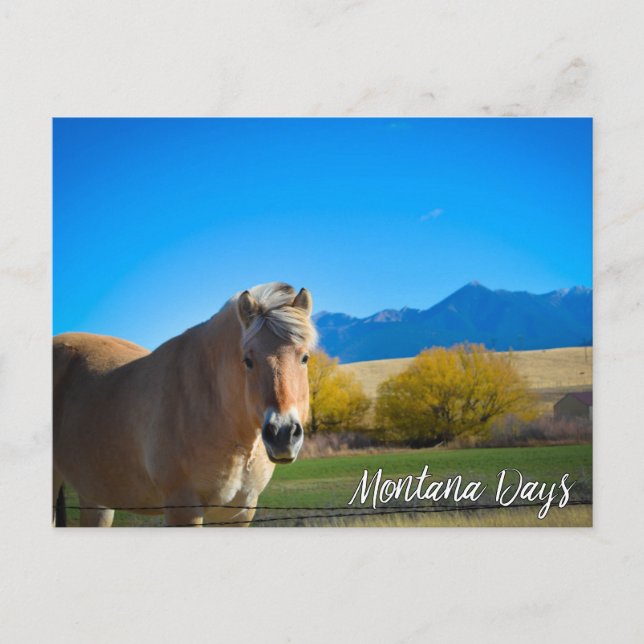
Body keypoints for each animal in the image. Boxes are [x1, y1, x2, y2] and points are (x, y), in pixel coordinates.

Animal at [53, 282, 317, 527]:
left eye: (304, 358)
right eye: (248, 361)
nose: (283, 434)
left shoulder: (240, 512)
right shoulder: (183, 507)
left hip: (96, 494)